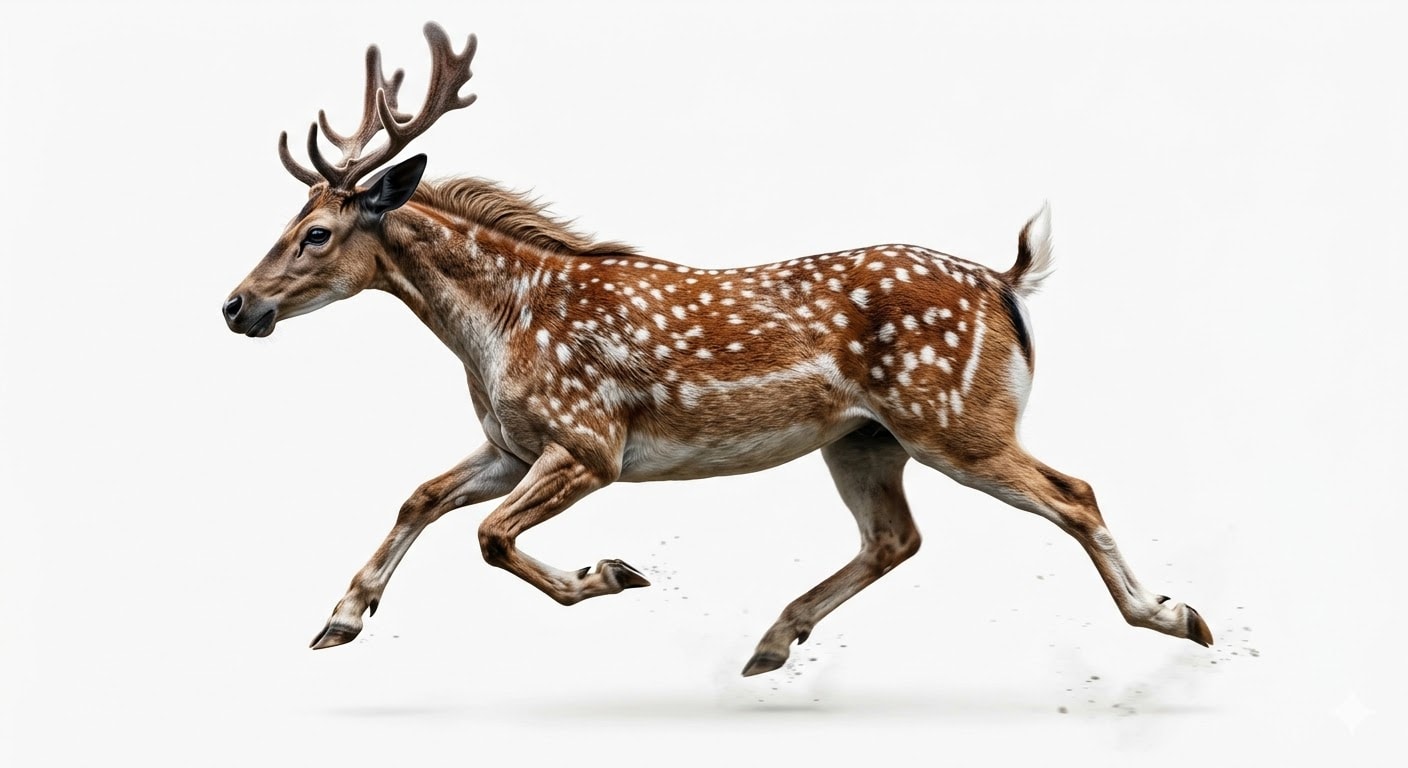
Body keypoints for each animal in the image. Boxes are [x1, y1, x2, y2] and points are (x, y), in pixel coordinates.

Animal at [223, 22, 1213, 678]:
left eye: (315, 233)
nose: (237, 306)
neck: (499, 333)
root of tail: (1009, 285)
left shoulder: (591, 441)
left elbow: (490, 536)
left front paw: (613, 572)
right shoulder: (511, 442)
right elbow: (421, 496)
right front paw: (339, 621)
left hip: (957, 417)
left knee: (1072, 492)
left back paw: (1180, 617)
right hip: (865, 439)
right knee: (898, 536)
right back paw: (771, 643)